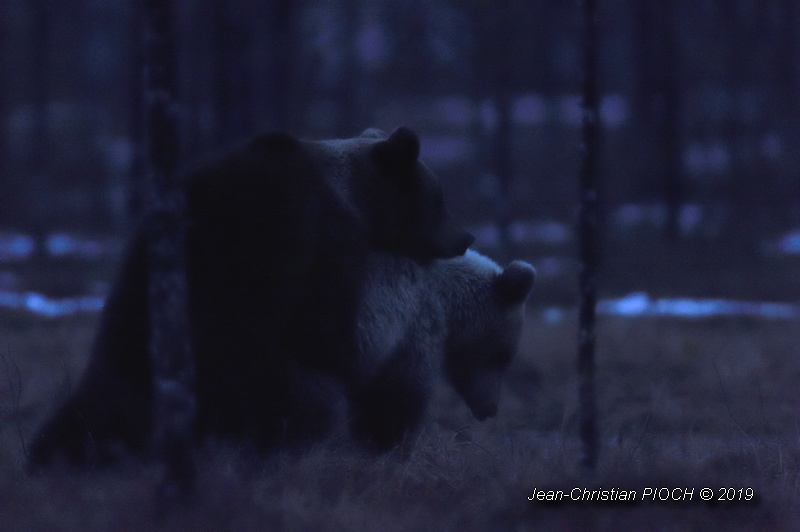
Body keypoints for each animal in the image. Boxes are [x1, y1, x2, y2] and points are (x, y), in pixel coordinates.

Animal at [29, 125, 476, 466]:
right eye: (439, 197)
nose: (466, 237)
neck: (355, 201)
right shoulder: (317, 237)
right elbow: (328, 332)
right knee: (295, 400)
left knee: (92, 407)